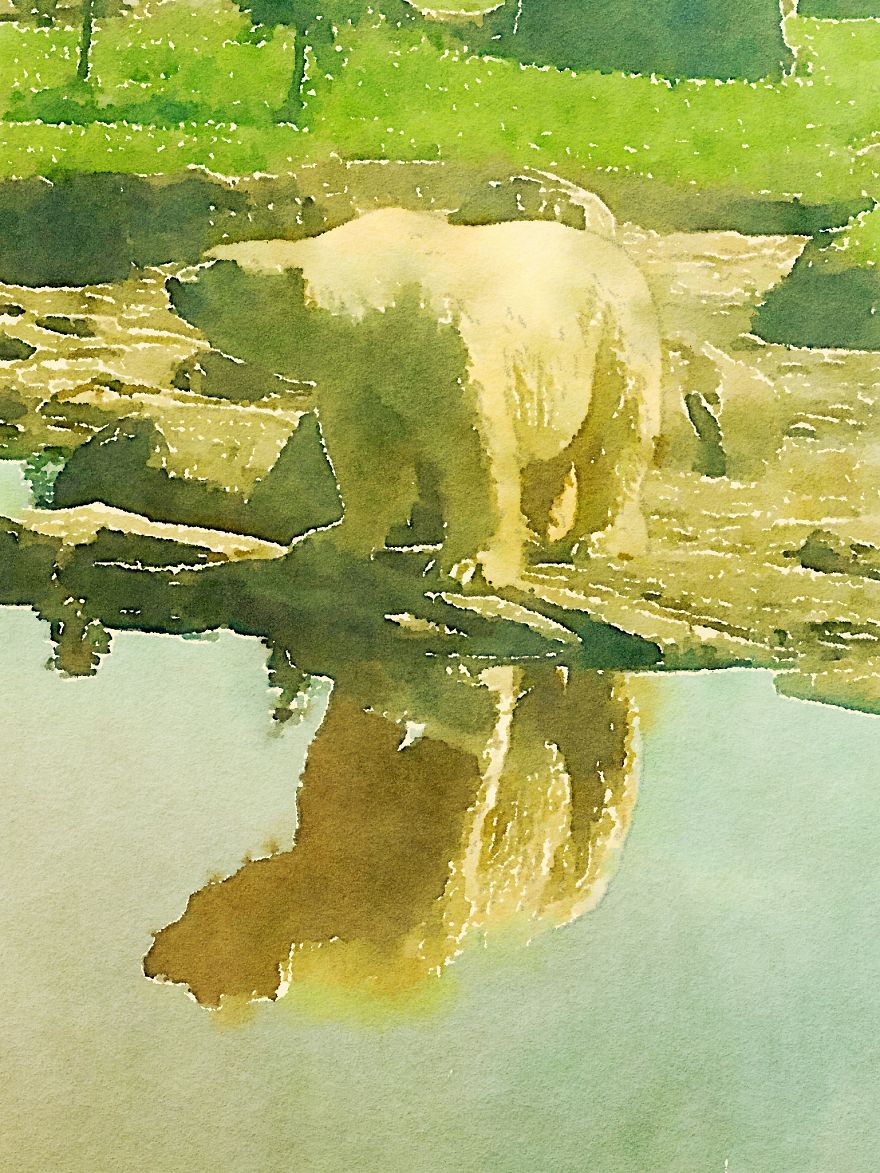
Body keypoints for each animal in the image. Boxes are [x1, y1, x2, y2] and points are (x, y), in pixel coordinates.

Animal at [203, 205, 663, 590]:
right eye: (211, 253)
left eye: (221, 264)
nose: (184, 280)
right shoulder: (359, 376)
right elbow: (366, 457)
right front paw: (327, 543)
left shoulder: (449, 350)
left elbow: (475, 456)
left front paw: (473, 566)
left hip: (612, 341)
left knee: (613, 443)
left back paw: (596, 538)